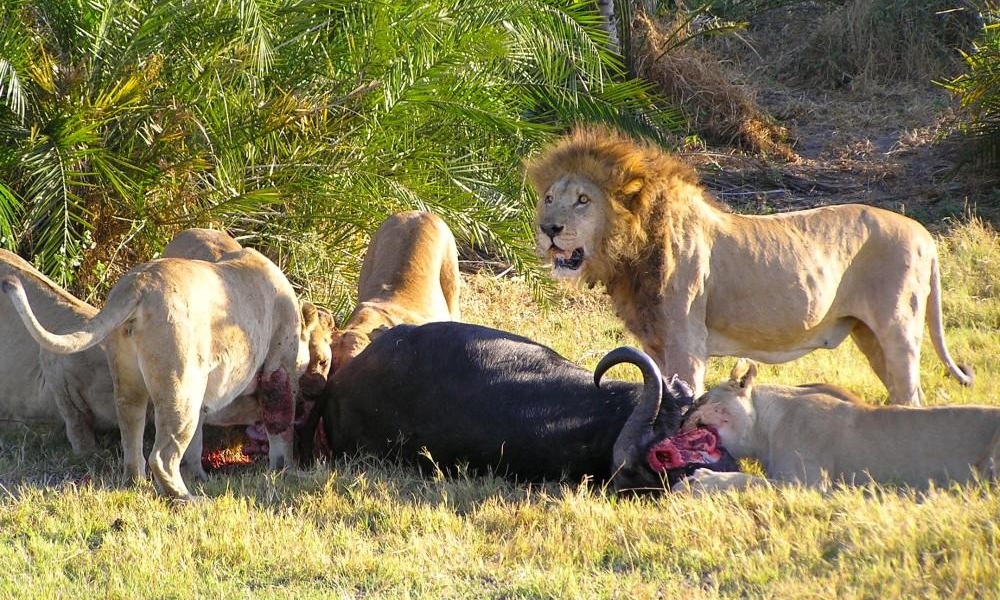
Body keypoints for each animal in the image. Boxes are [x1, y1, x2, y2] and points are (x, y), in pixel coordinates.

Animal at [526, 125, 972, 405]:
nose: (549, 228)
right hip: (870, 335)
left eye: (583, 200)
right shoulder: (656, 344)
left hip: (898, 329)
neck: (629, 253)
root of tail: (924, 234)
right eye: (549, 198)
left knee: (911, 394)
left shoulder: (687, 344)